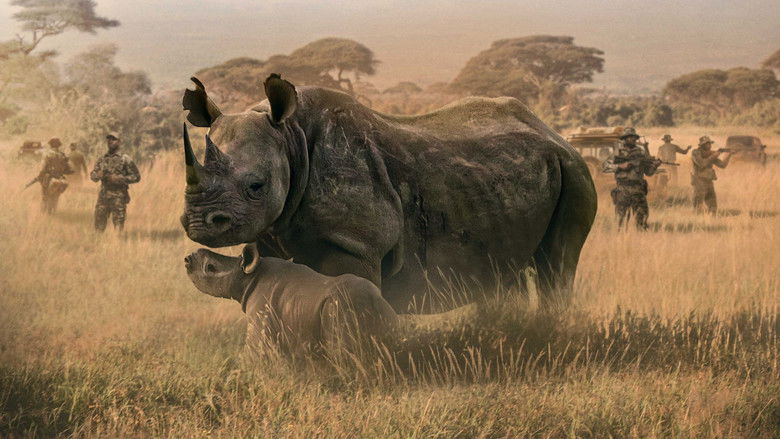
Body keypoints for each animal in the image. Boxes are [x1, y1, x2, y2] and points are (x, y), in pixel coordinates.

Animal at [180, 74, 597, 312]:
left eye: (257, 187)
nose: (200, 222)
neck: (290, 138)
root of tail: (552, 132)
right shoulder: (273, 236)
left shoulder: (353, 244)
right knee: (507, 267)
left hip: (575, 171)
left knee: (557, 265)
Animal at [185, 244, 398, 353]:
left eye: (210, 267)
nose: (187, 259)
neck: (248, 276)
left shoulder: (260, 313)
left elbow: (254, 352)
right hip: (383, 312)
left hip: (341, 308)